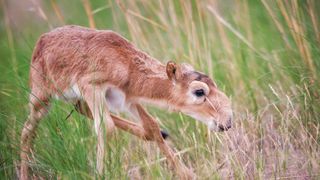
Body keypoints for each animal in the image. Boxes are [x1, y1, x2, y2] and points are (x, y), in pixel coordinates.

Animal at [20, 25, 232, 180]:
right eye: (199, 91)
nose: (227, 121)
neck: (126, 64)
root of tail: (40, 41)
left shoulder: (127, 99)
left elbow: (151, 125)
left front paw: (187, 173)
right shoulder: (92, 87)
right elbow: (105, 127)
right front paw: (101, 174)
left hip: (81, 100)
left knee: (80, 108)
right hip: (41, 99)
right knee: (27, 130)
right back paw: (23, 174)